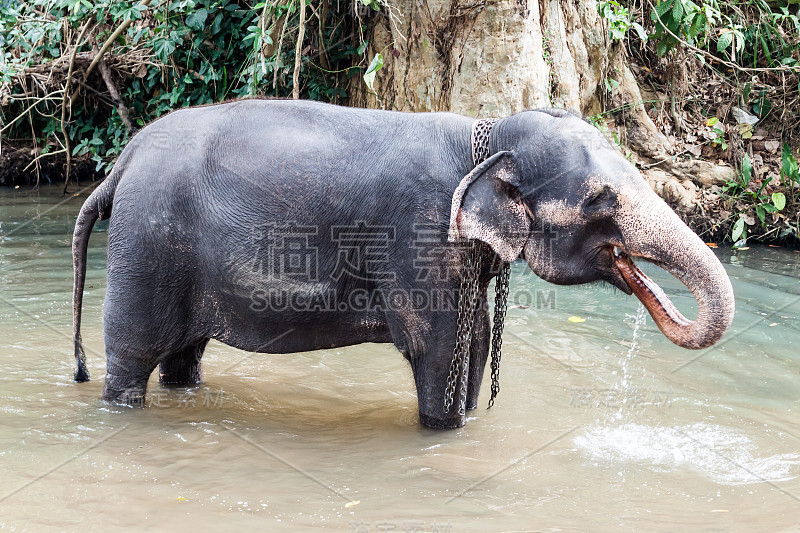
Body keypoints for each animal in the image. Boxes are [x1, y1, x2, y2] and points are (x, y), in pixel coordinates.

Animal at [72, 100, 736, 430]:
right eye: (600, 198)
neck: (484, 132)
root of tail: (121, 161)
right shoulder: (420, 237)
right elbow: (436, 349)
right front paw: (442, 432)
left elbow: (474, 344)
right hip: (146, 247)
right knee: (131, 357)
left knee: (184, 357)